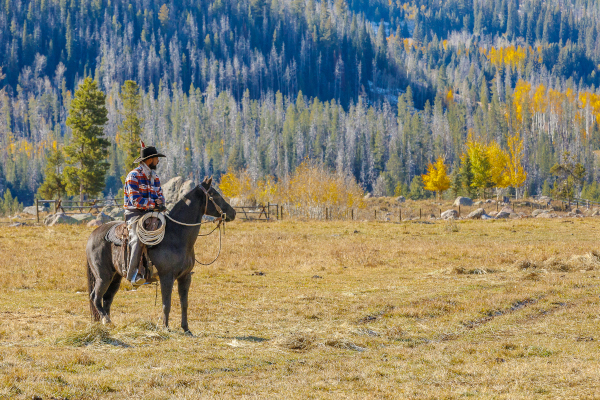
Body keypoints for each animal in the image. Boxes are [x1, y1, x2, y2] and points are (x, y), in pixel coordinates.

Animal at [85, 177, 236, 332]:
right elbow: (166, 304)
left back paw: (107, 323)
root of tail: (93, 234)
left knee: (107, 298)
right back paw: (106, 320)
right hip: (103, 276)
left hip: (115, 277)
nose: (233, 212)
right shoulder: (166, 277)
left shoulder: (185, 277)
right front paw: (166, 328)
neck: (176, 235)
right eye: (214, 195)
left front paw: (186, 329)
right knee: (95, 297)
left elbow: (184, 303)